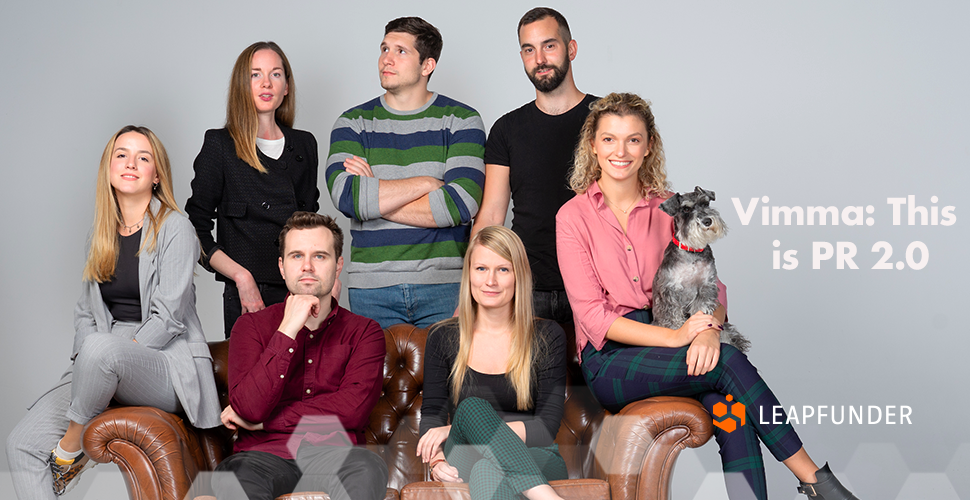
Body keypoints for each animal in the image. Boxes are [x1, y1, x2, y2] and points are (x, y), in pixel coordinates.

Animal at [652, 186, 748, 354]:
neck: (692, 252)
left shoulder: (705, 287)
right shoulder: (669, 292)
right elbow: (672, 318)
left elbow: (701, 310)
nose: (707, 221)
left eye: (705, 203)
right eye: (685, 209)